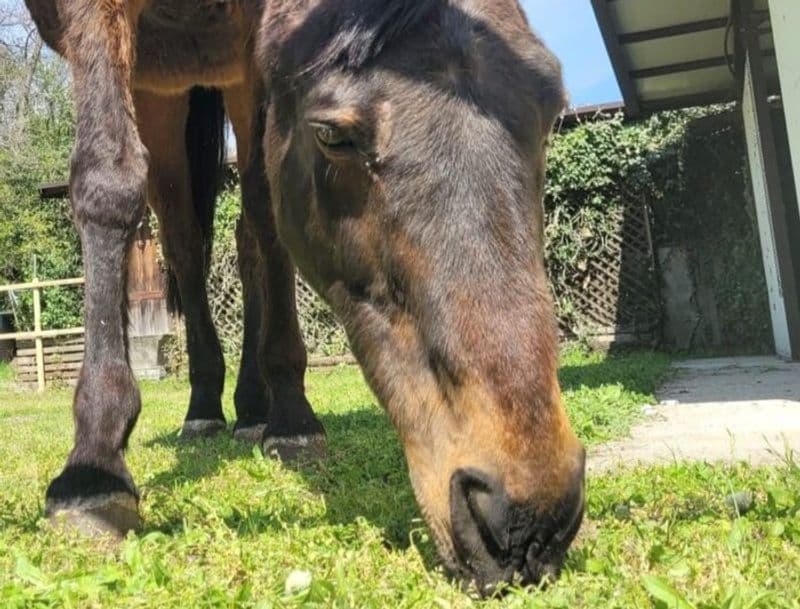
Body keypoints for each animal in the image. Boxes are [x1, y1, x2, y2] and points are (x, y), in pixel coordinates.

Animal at [23, 0, 586, 591]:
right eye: (333, 136)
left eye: (551, 108)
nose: (528, 521)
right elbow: (107, 182)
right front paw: (93, 468)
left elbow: (265, 208)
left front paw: (292, 418)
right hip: (159, 90)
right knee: (182, 241)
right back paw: (203, 409)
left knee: (246, 228)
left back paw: (253, 409)